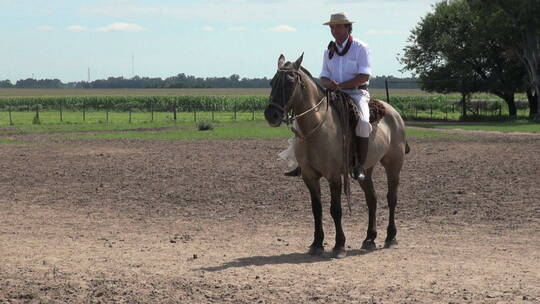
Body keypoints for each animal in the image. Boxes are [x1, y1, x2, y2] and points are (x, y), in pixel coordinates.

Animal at [264, 53, 410, 258]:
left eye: (290, 82)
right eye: (272, 82)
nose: (272, 114)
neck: (316, 127)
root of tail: (393, 113)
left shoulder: (334, 176)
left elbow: (336, 209)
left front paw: (339, 245)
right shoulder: (309, 176)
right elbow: (317, 209)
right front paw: (317, 244)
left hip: (393, 165)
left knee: (391, 198)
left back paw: (390, 237)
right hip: (366, 170)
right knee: (372, 199)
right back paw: (369, 239)